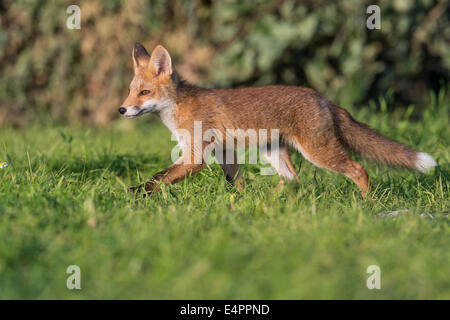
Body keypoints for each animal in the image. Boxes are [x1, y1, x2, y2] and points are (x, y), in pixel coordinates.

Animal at [118, 42, 436, 198]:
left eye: (145, 93)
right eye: (130, 91)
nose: (122, 110)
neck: (179, 108)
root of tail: (323, 98)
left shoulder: (196, 156)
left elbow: (158, 179)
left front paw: (133, 194)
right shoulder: (224, 152)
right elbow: (236, 183)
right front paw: (241, 205)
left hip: (319, 152)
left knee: (358, 170)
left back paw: (368, 204)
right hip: (271, 151)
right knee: (292, 179)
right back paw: (270, 200)